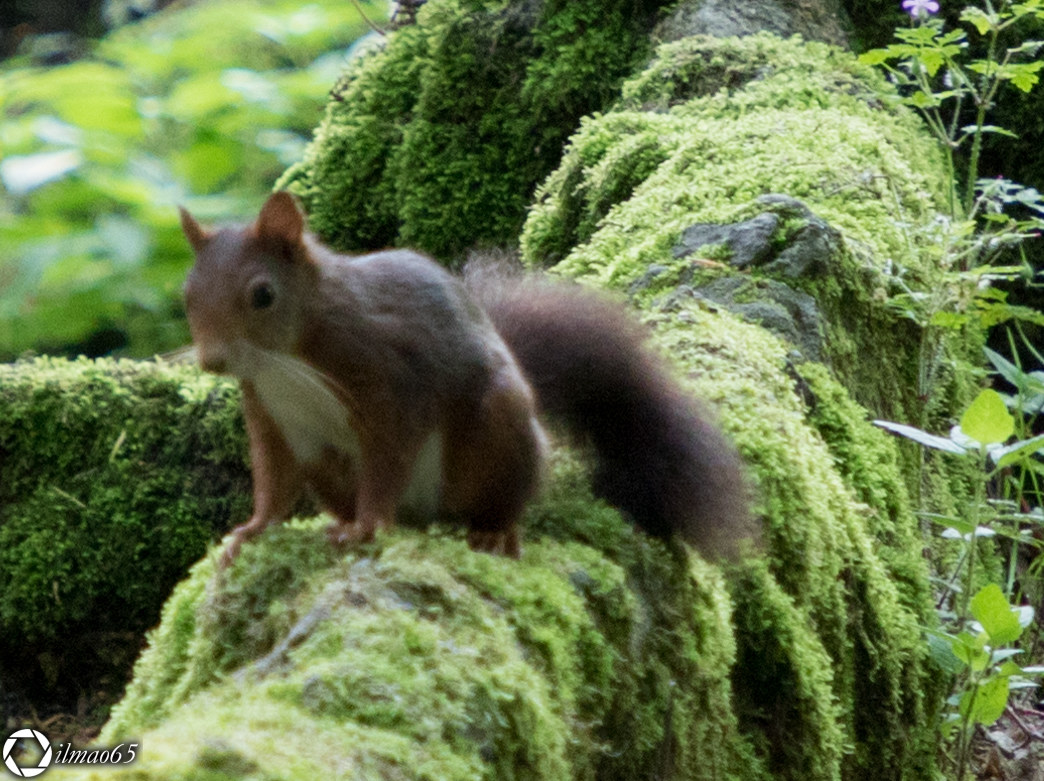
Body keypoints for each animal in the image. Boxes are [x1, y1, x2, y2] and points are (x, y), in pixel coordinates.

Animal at [179, 192, 753, 567]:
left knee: (500, 499)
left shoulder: (390, 381)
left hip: (496, 430)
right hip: (329, 463)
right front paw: (250, 533)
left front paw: (368, 525)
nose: (212, 361)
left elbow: (389, 455)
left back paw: (493, 533)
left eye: (263, 294)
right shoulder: (272, 415)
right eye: (186, 295)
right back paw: (342, 522)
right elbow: (273, 481)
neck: (284, 361)